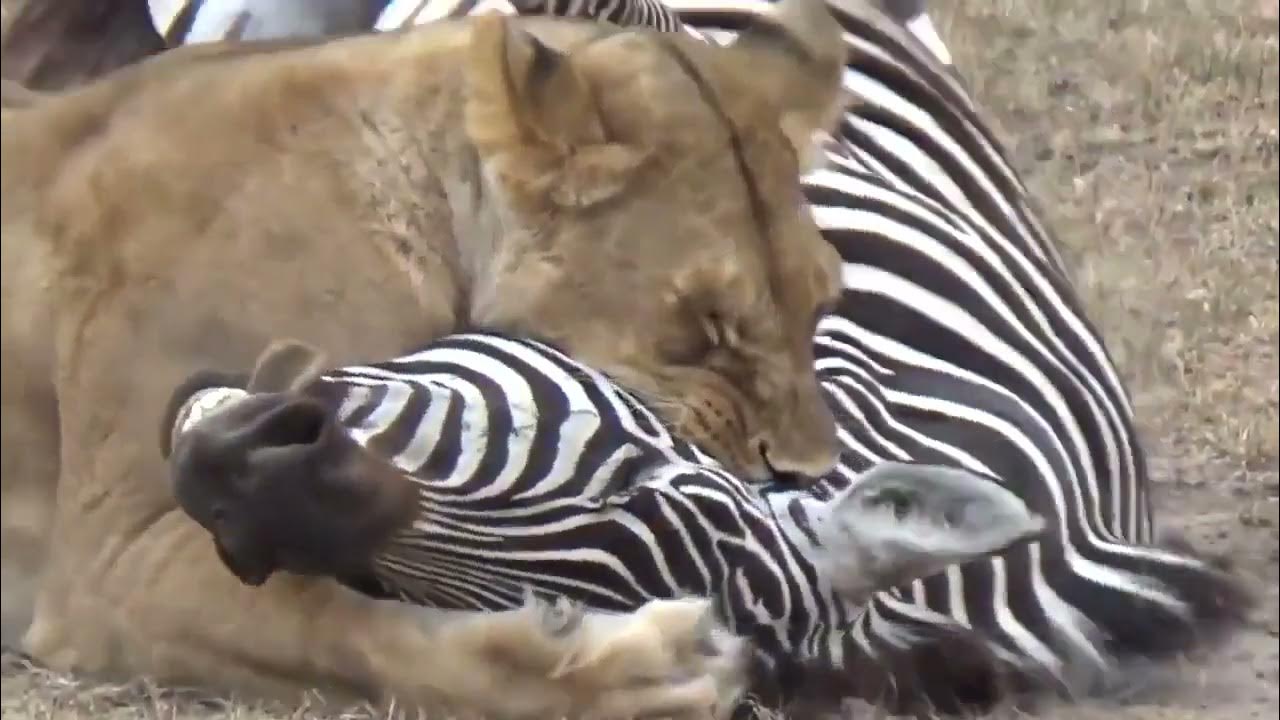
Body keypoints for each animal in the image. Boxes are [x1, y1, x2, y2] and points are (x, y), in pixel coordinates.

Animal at [1, 0, 850, 716]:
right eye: (705, 325)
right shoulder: (113, 558)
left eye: (819, 304)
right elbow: (345, 630)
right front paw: (638, 673)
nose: (807, 477)